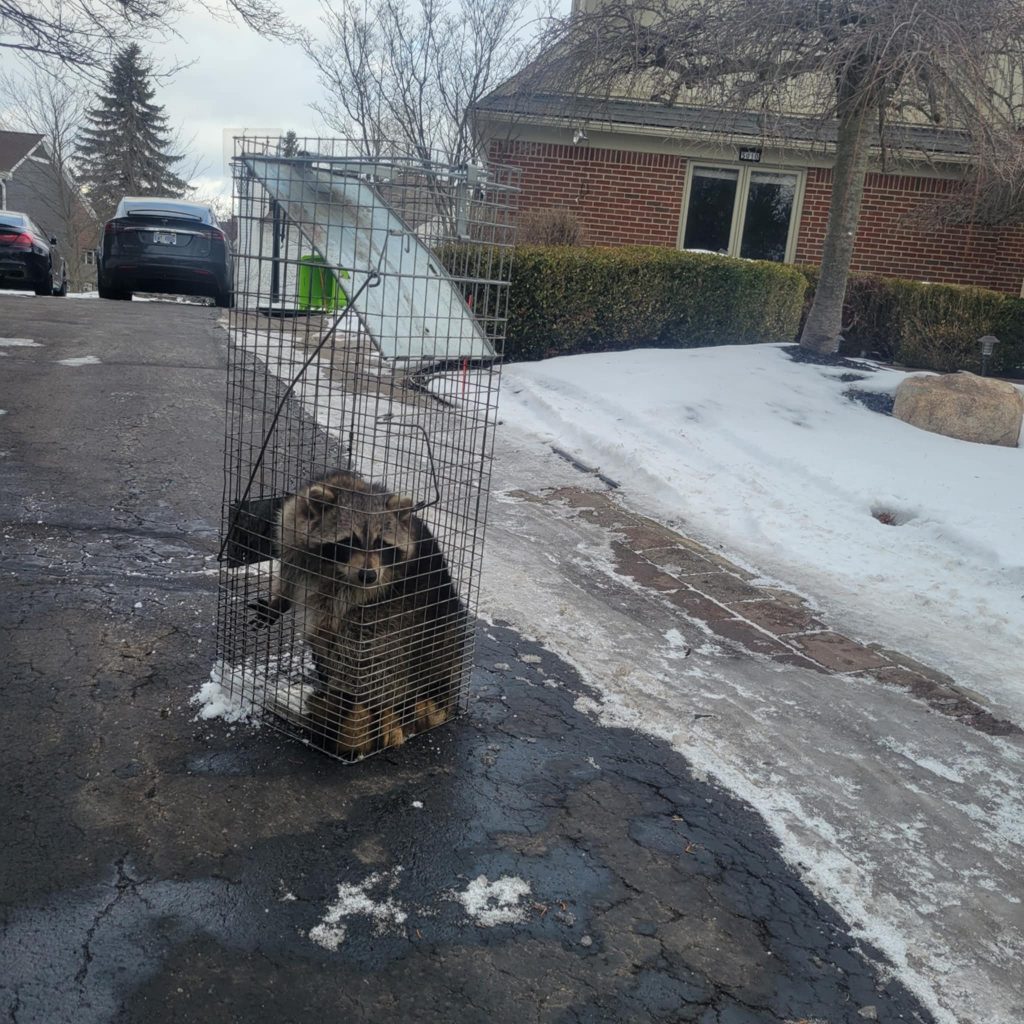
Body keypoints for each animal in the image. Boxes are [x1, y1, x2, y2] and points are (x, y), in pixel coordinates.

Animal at [251, 468, 468, 757]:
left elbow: (329, 623)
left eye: (381, 544)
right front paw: (279, 602)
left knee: (356, 646)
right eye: (349, 541)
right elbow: (290, 574)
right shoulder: (291, 530)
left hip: (403, 627)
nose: (368, 575)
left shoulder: (377, 586)